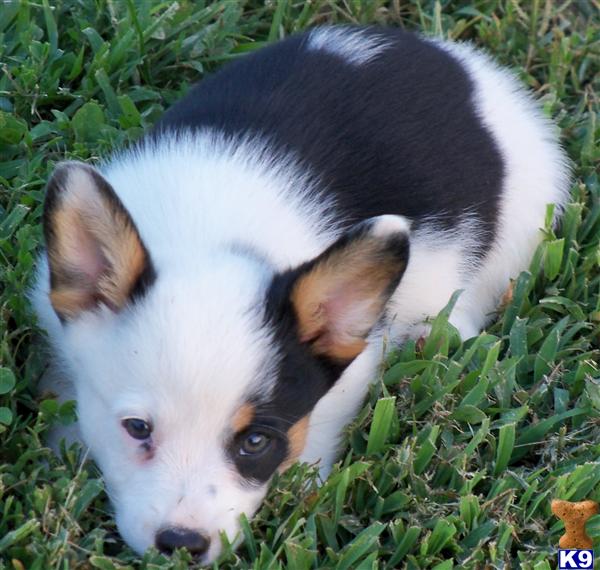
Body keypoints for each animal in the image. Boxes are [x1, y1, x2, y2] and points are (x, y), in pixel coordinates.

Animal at [31, 26, 568, 564]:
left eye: (255, 442)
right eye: (137, 428)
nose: (182, 545)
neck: (210, 238)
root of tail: (471, 67)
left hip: (522, 228)